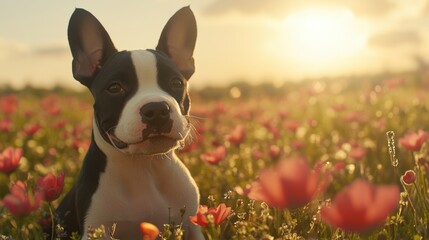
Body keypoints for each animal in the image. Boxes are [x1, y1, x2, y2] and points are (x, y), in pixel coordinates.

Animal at [56, 6, 203, 239]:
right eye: (115, 88)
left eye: (176, 83)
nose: (156, 109)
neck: (144, 166)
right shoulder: (96, 228)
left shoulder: (192, 226)